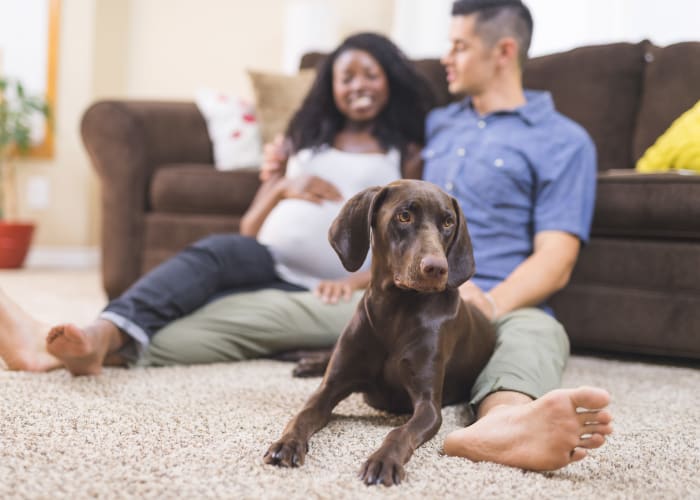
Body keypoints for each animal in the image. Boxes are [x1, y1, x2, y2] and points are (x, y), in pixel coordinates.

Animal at [264, 179, 498, 484]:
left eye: (448, 222)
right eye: (404, 216)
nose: (437, 268)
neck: (395, 312)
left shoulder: (428, 407)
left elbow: (399, 433)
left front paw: (383, 461)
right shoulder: (330, 388)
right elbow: (301, 416)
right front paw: (287, 444)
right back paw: (305, 363)